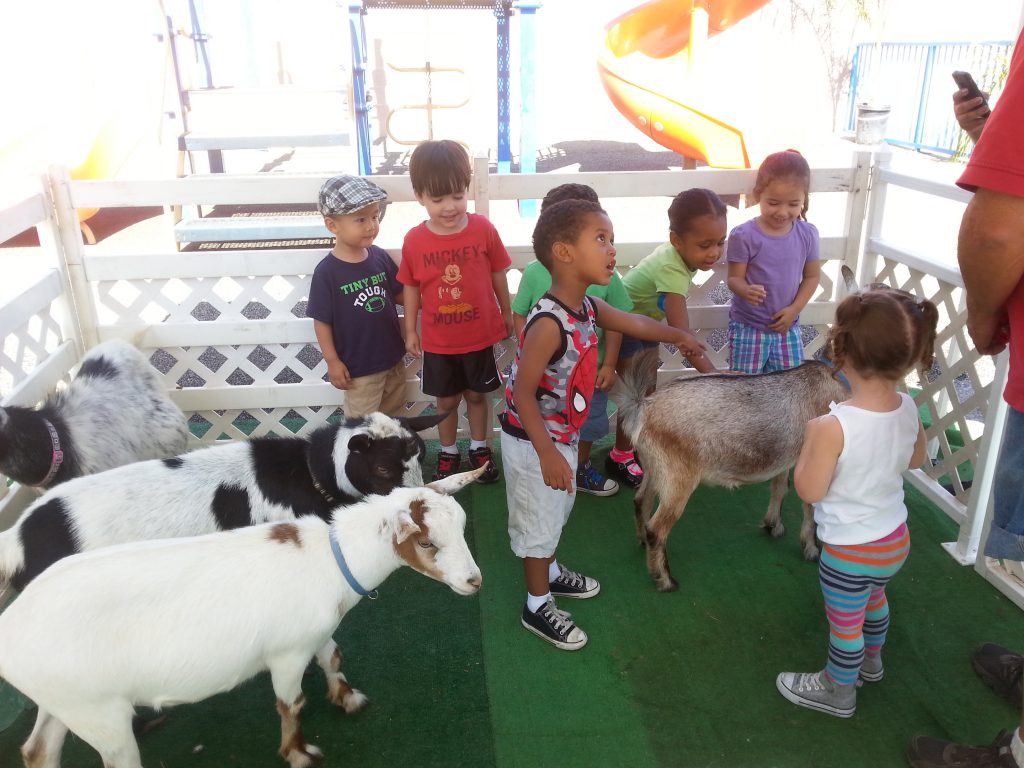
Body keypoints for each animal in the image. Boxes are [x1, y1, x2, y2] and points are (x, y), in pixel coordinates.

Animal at [0, 468, 484, 768]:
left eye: (461, 527)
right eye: (426, 543)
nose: (474, 581)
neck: (332, 557)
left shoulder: (314, 632)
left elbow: (333, 656)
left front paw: (347, 698)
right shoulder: (286, 653)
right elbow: (291, 703)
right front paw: (298, 753)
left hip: (67, 700)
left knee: (39, 750)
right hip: (100, 714)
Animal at [617, 352, 848, 592]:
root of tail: (643, 407)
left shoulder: (785, 458)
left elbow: (780, 487)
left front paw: (773, 524)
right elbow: (810, 506)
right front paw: (811, 549)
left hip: (654, 468)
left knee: (641, 501)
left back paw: (643, 543)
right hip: (677, 478)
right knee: (657, 528)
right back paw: (665, 579)